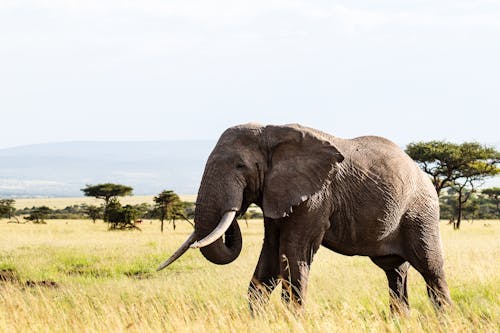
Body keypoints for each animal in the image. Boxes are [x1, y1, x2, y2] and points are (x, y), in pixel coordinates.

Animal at [158, 122, 452, 312]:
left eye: (240, 166)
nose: (238, 208)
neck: (272, 132)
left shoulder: (315, 196)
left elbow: (294, 251)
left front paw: (293, 318)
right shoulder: (279, 194)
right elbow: (271, 254)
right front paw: (256, 318)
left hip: (420, 211)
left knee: (430, 267)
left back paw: (444, 319)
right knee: (395, 271)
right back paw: (401, 320)